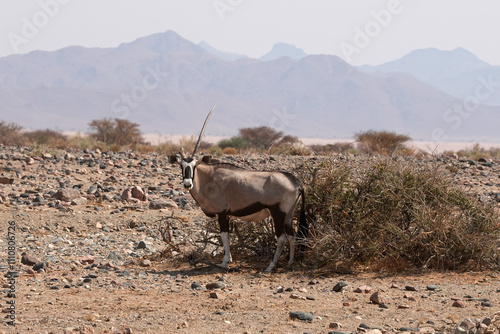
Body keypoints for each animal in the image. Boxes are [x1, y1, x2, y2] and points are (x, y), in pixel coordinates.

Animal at [170, 105, 306, 272]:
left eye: (194, 165)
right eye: (181, 166)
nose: (187, 184)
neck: (208, 178)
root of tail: (296, 182)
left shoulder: (221, 213)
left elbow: (224, 235)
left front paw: (225, 262)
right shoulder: (227, 214)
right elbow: (227, 235)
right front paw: (229, 259)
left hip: (278, 213)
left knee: (281, 237)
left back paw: (270, 266)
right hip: (288, 215)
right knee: (292, 235)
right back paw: (290, 263)